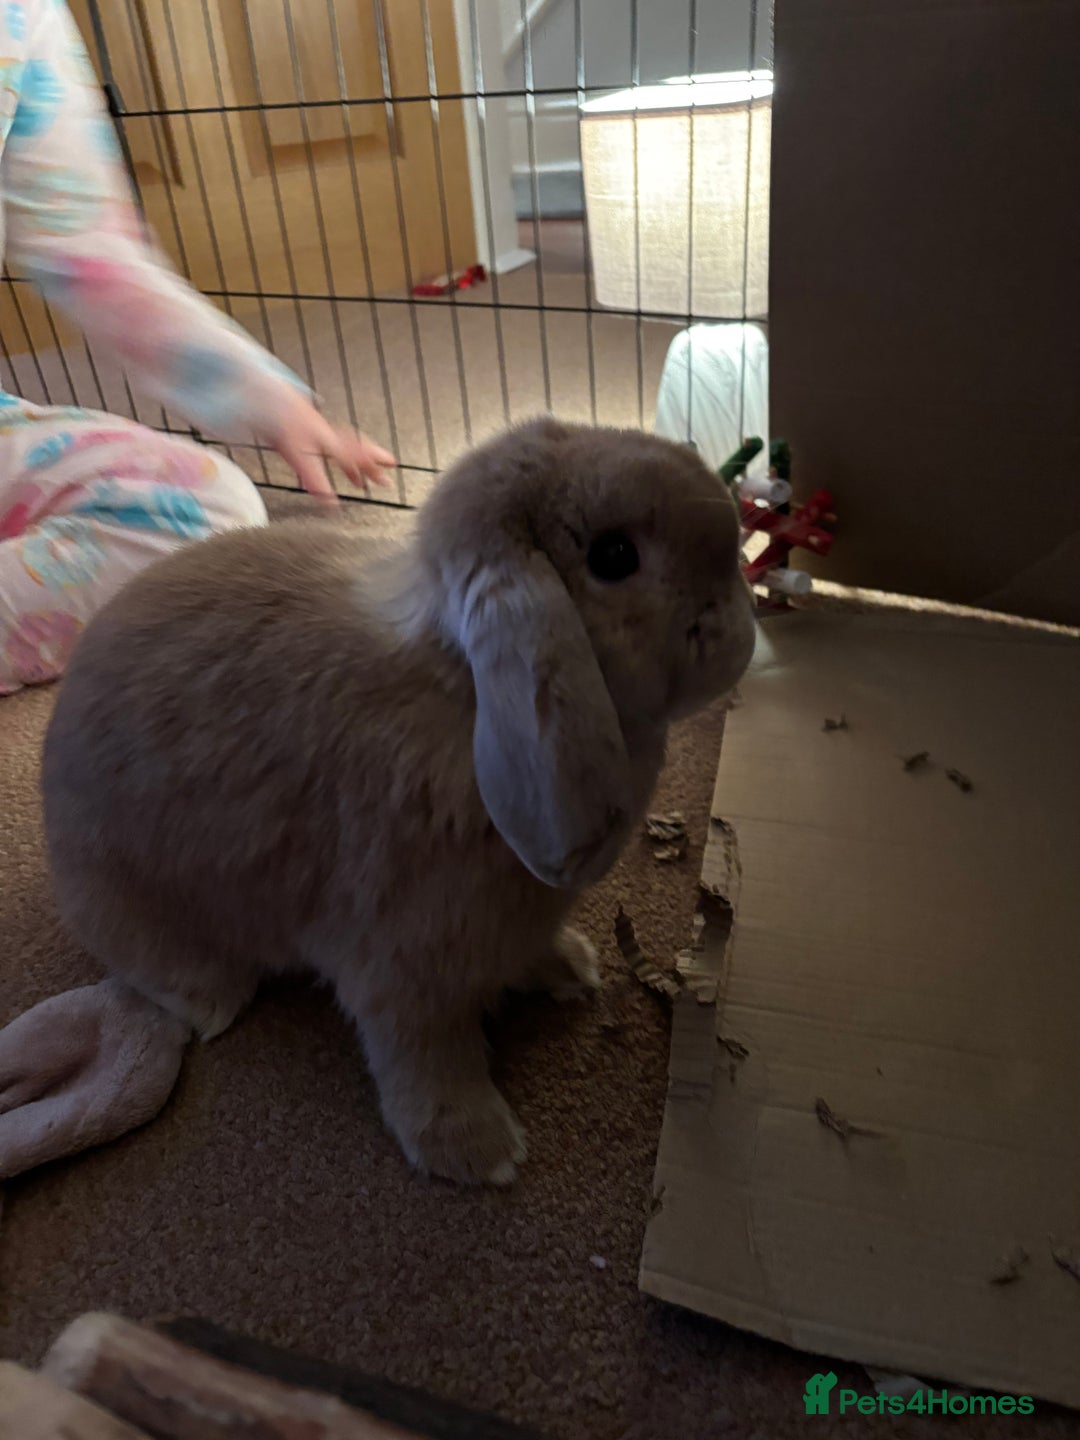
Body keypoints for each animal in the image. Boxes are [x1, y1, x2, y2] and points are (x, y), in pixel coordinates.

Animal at [35, 417, 756, 1186]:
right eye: (614, 556)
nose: (741, 631)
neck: (465, 693)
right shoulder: (403, 967)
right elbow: (426, 1060)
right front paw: (480, 1154)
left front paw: (569, 969)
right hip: (132, 899)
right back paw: (210, 1002)